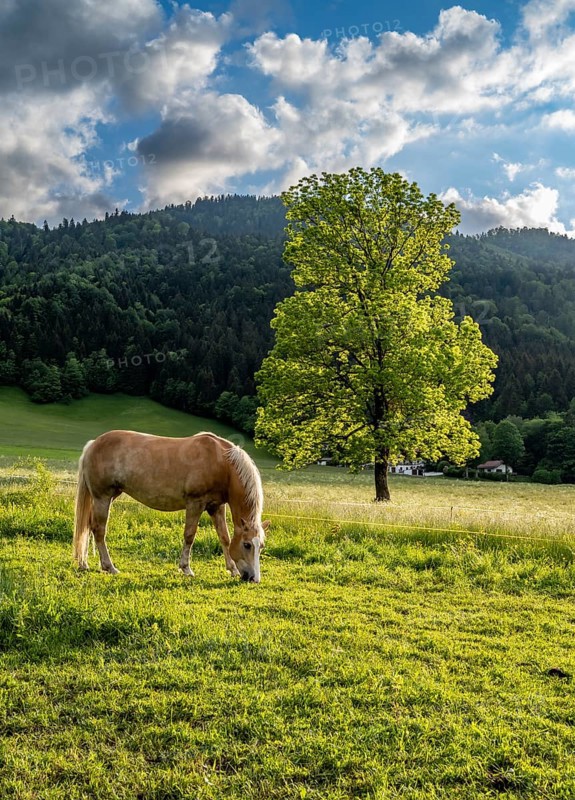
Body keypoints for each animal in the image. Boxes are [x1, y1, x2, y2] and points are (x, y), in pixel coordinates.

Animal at [73, 430, 270, 582]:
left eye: (261, 546)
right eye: (247, 545)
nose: (253, 578)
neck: (221, 462)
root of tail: (93, 444)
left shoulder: (216, 507)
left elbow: (225, 538)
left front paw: (232, 569)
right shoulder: (195, 504)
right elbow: (189, 536)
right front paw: (186, 568)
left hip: (108, 497)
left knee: (88, 527)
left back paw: (85, 563)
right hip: (102, 498)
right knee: (99, 530)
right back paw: (109, 567)